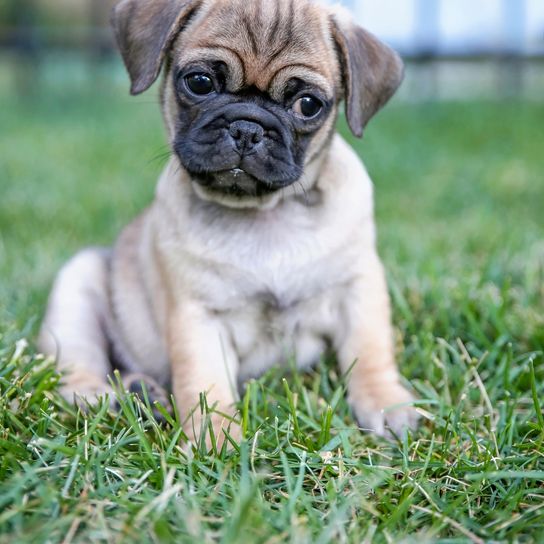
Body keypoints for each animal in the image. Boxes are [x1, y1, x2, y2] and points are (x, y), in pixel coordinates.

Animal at [39, 0, 420, 442]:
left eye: (308, 105)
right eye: (200, 83)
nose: (247, 127)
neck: (265, 214)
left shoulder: (358, 288)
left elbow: (370, 349)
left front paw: (386, 402)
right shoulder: (198, 317)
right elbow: (206, 387)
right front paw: (216, 441)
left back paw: (141, 393)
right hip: (77, 284)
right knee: (76, 367)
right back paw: (108, 396)